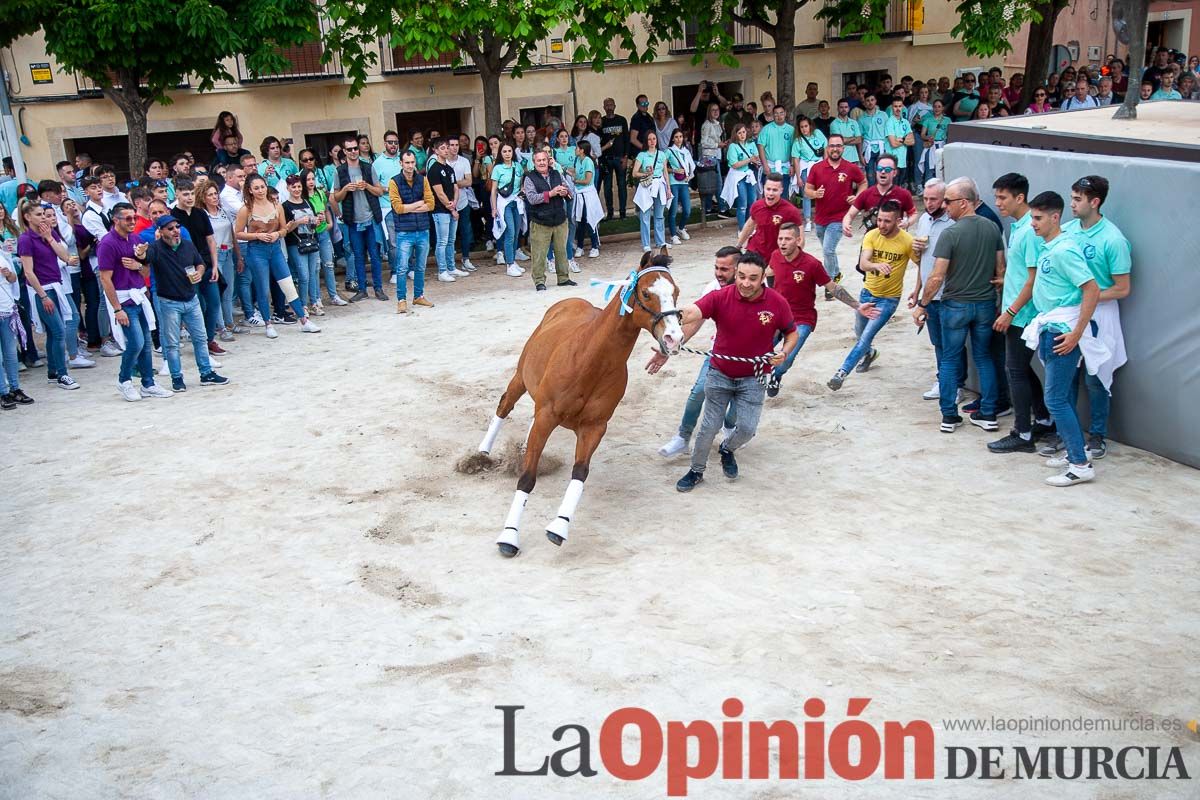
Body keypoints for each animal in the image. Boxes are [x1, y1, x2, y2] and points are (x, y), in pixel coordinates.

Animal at [477, 261, 686, 556]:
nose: (673, 338)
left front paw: (559, 527)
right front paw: (509, 535)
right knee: (505, 404)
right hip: (521, 378)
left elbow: (580, 473)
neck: (590, 360)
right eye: (646, 293)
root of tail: (568, 301)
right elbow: (527, 478)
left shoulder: (594, 427)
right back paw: (482, 451)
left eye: (675, 292)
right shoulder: (547, 416)